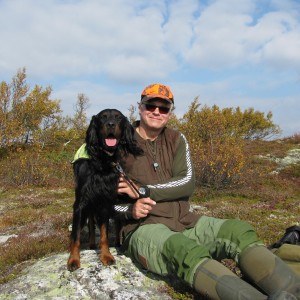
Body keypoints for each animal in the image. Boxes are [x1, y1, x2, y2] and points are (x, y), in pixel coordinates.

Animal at [67, 108, 142, 272]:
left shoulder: (105, 202)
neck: (103, 160)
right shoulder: (81, 203)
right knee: (86, 224)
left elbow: (104, 234)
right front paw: (73, 259)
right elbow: (76, 236)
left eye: (118, 117)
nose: (111, 124)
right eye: (103, 117)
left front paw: (106, 255)